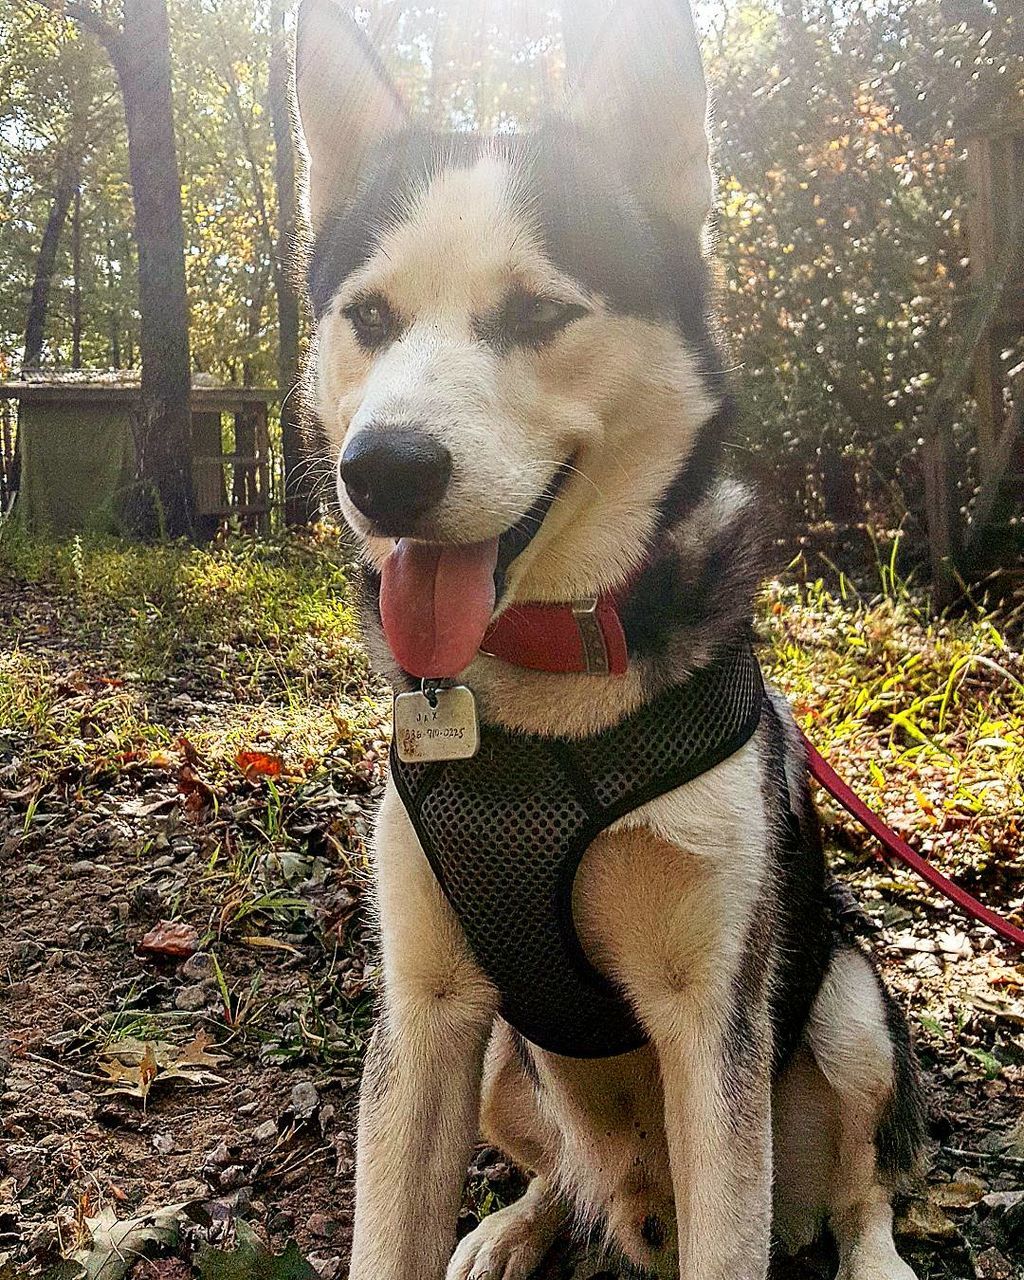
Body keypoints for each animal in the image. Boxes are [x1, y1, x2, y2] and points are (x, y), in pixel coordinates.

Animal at [291, 2, 921, 1280]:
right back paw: (516, 1223)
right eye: (369, 317)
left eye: (537, 312)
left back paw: (872, 1251)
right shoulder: (425, 1009)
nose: (382, 470)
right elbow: (388, 1226)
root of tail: (636, 1202)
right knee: (560, 1171)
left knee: (859, 1185)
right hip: (501, 1064)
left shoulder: (712, 1018)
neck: (547, 677)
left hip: (842, 999)